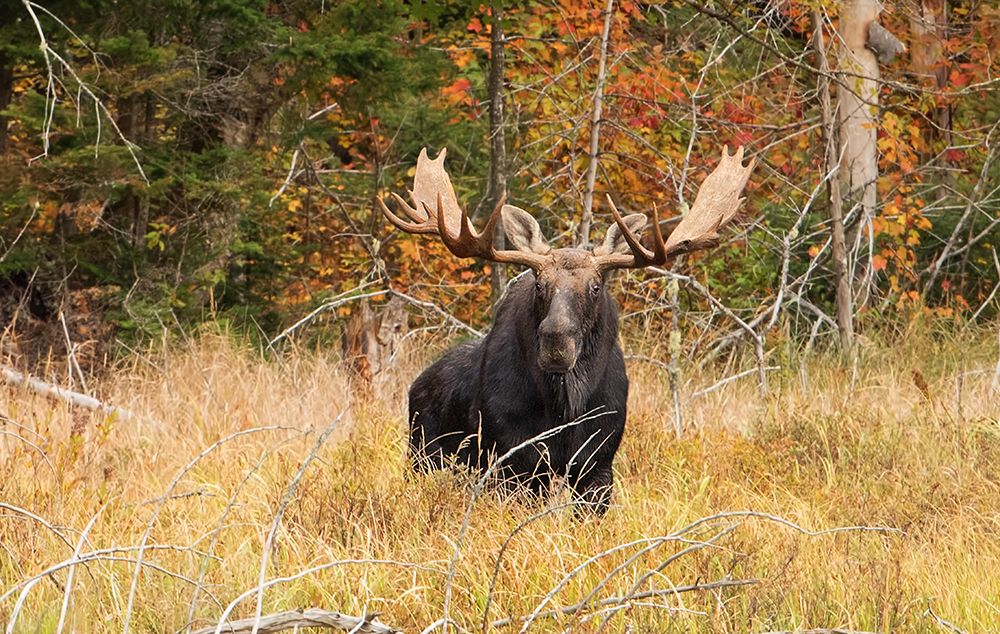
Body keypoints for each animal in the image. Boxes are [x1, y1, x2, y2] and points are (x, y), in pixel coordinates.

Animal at [379, 146, 754, 514]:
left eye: (595, 287)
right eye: (540, 285)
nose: (556, 342)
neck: (564, 406)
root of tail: (417, 384)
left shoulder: (598, 464)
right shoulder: (514, 462)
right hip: (423, 455)